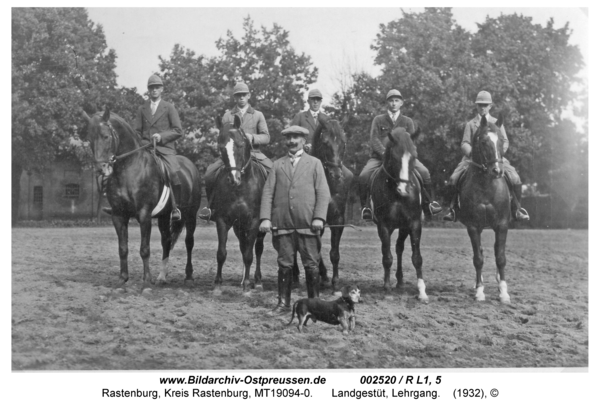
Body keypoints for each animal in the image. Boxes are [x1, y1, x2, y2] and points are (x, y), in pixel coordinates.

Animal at [82, 106, 202, 290]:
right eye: (89, 139)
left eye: (106, 136)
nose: (101, 169)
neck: (128, 168)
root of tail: (190, 166)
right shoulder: (118, 215)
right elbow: (122, 248)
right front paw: (122, 278)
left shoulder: (144, 214)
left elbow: (144, 248)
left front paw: (146, 281)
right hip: (164, 216)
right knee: (166, 241)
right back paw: (162, 277)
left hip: (190, 215)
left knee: (189, 242)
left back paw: (188, 276)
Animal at [211, 114, 268, 292]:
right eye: (221, 147)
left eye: (240, 145)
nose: (233, 179)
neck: (241, 188)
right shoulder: (223, 220)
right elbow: (221, 253)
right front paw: (218, 283)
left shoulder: (255, 222)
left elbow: (250, 254)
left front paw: (248, 285)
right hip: (239, 226)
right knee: (243, 246)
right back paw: (243, 279)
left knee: (258, 249)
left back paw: (256, 280)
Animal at [292, 117, 354, 292]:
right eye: (325, 143)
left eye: (343, 143)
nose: (336, 175)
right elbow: (316, 252)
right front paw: (323, 278)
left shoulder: (338, 220)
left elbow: (334, 253)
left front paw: (334, 281)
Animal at [368, 127, 428, 302]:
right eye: (394, 157)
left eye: (414, 156)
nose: (404, 190)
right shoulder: (383, 226)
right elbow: (387, 257)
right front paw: (387, 287)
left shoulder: (414, 224)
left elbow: (417, 258)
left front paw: (422, 291)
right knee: (389, 250)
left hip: (403, 227)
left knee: (399, 248)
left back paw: (400, 281)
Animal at [460, 116, 510, 302]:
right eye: (483, 142)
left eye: (501, 140)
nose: (497, 171)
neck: (487, 186)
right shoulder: (473, 227)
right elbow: (478, 259)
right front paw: (480, 290)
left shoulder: (502, 225)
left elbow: (500, 257)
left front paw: (504, 292)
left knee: (497, 251)